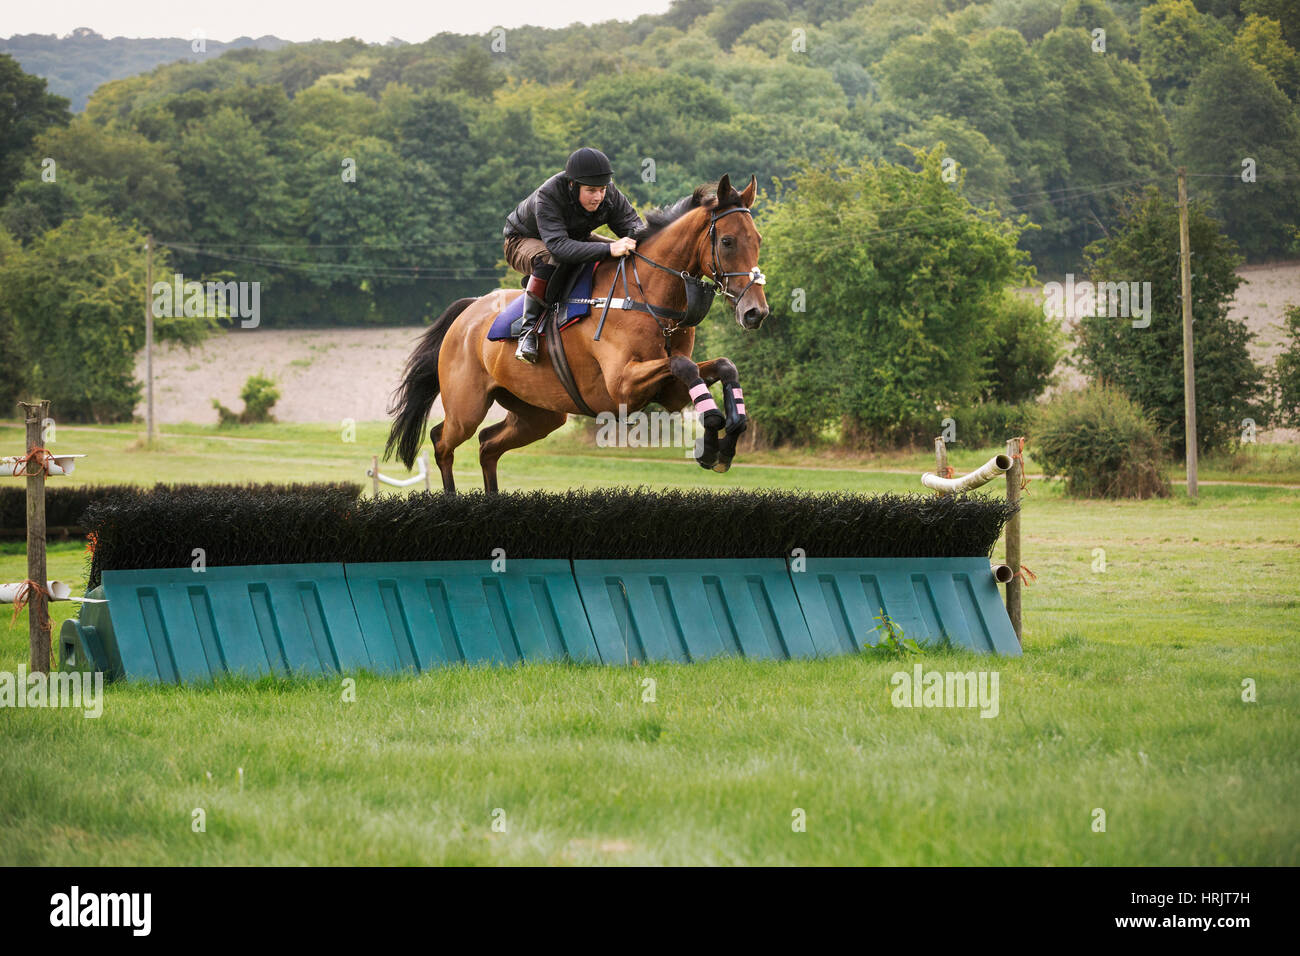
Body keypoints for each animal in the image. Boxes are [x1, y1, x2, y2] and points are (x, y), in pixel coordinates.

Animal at [385, 173, 769, 494]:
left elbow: (723, 366)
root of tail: (468, 311)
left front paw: (728, 438)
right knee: (442, 442)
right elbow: (684, 366)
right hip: (467, 406)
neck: (645, 295)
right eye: (728, 241)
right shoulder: (623, 385)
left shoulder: (669, 392)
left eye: (758, 239)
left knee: (488, 445)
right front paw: (713, 436)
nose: (756, 313)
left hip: (539, 414)